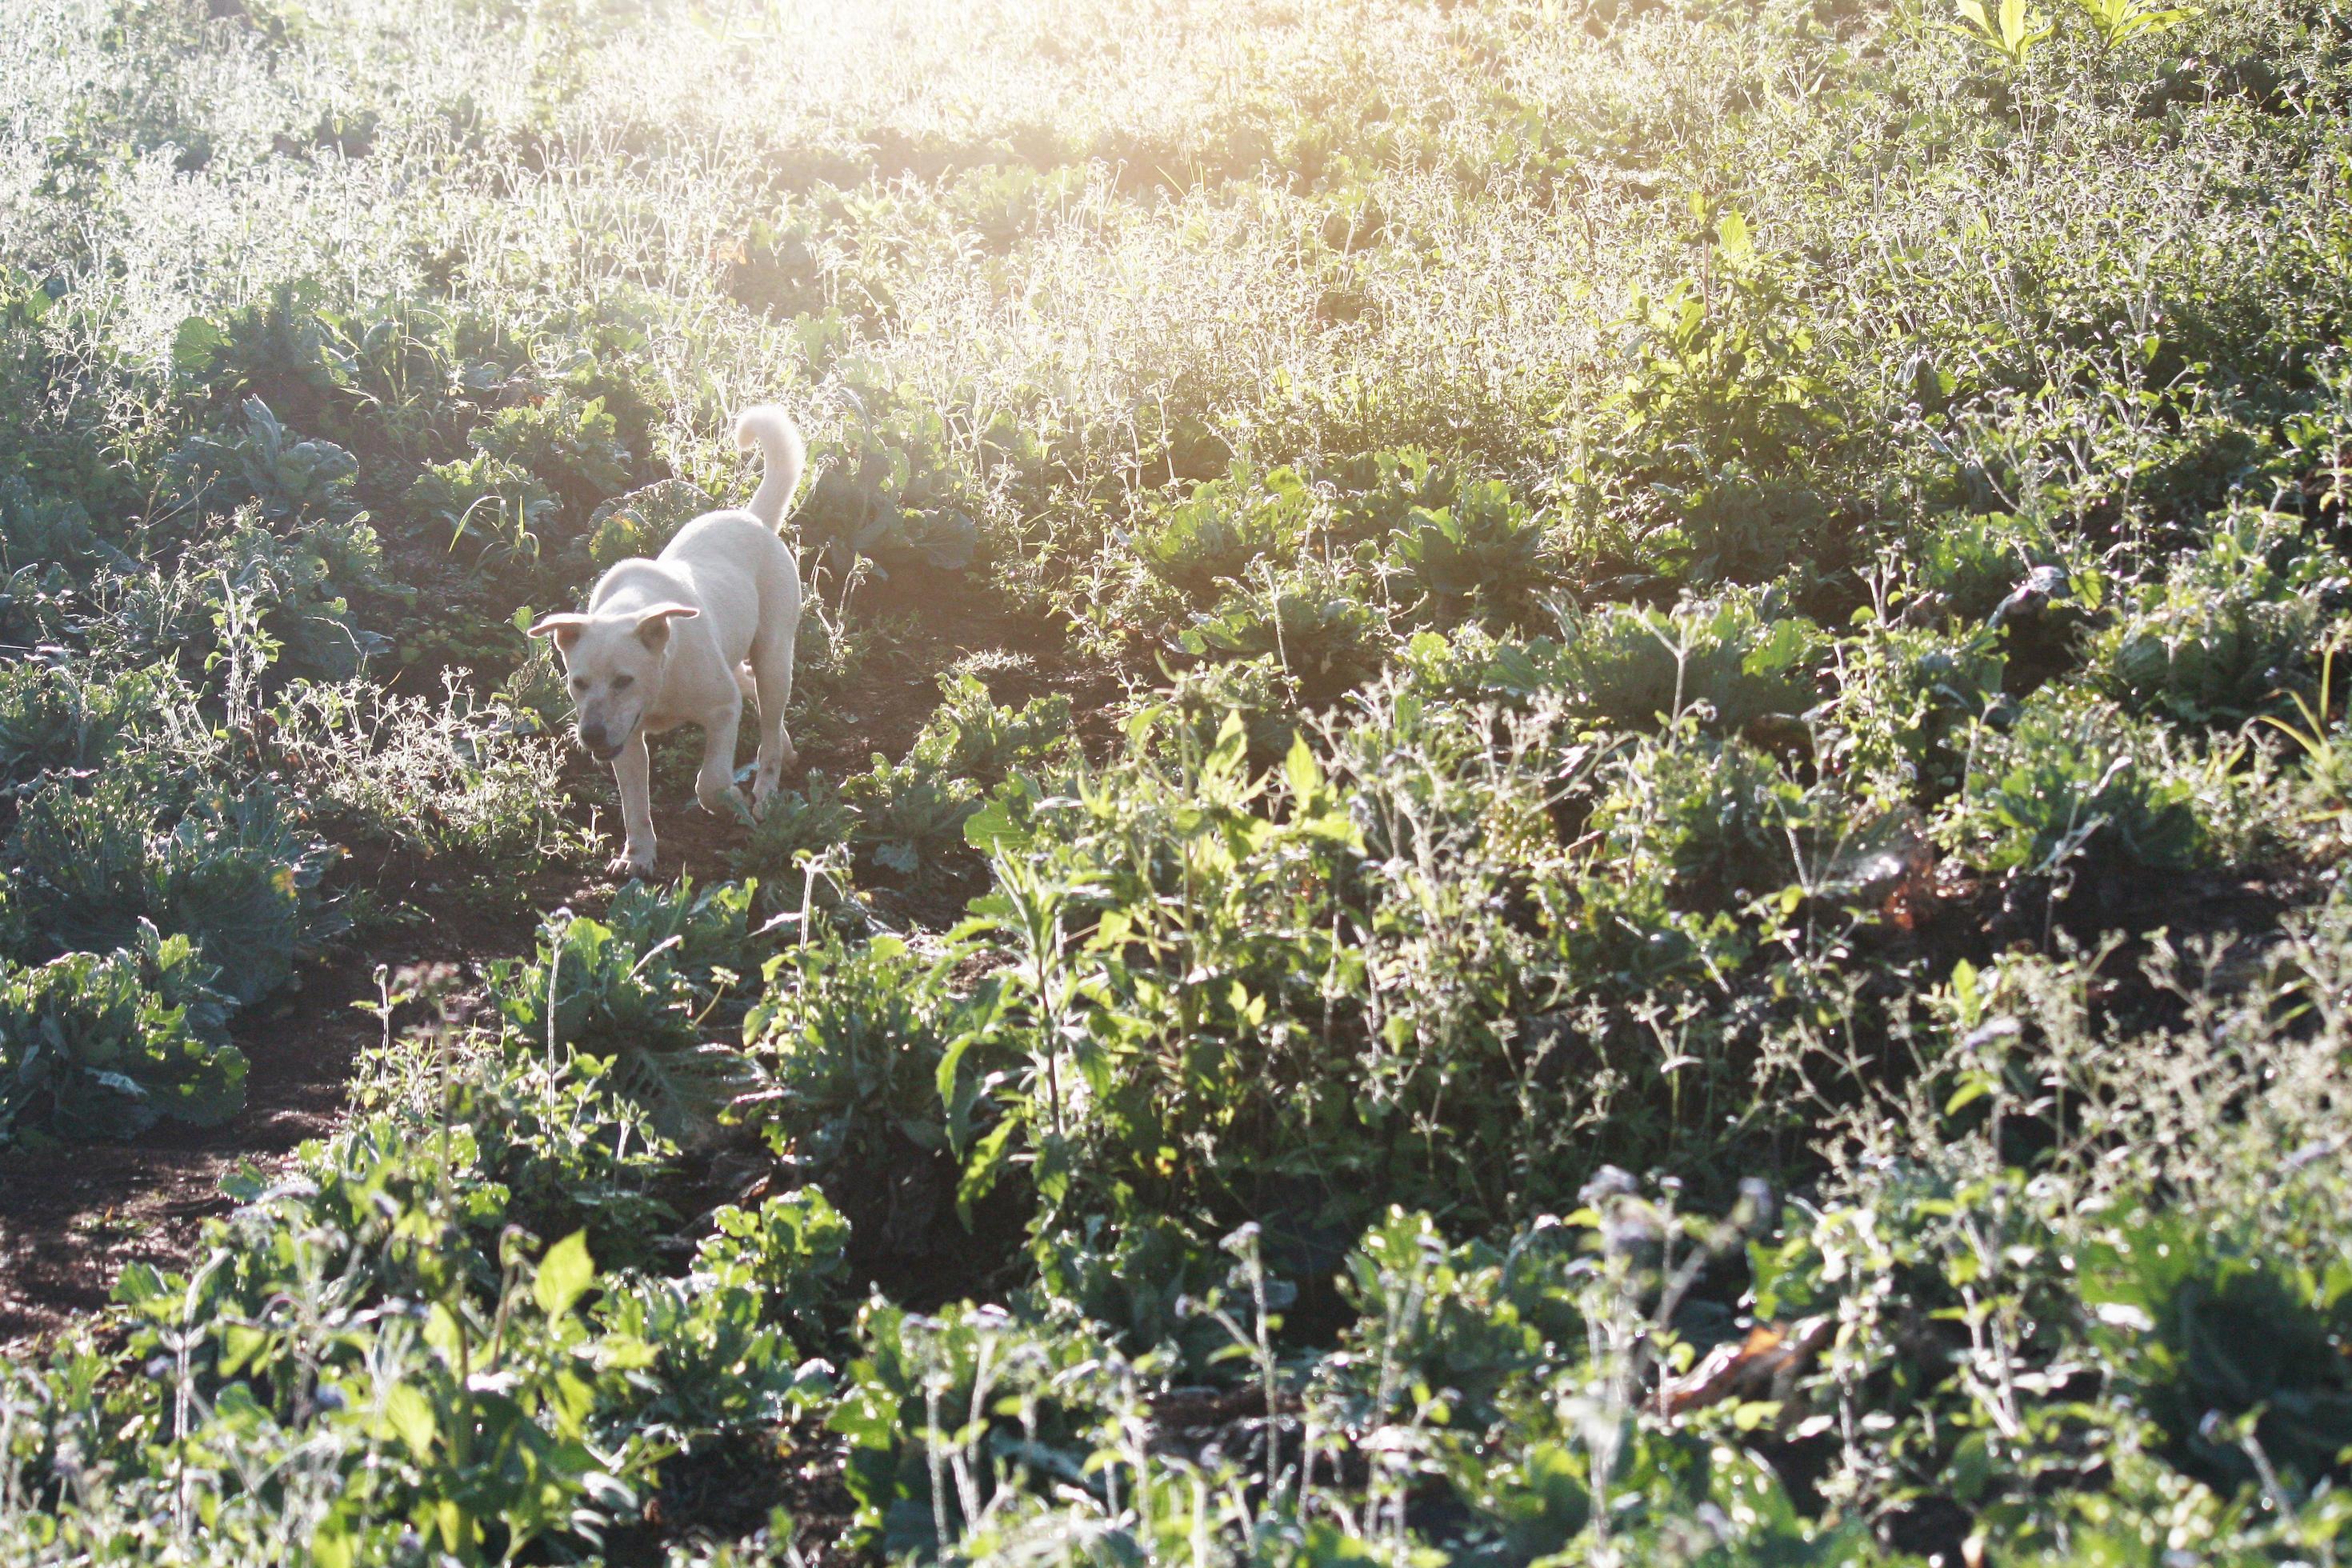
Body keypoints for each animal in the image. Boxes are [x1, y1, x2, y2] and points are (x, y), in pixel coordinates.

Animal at [529, 404, 804, 879]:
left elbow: (711, 782)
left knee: (767, 721)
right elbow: (634, 805)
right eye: (578, 683)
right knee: (754, 690)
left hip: (774, 652)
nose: (591, 735)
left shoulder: (721, 710)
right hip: (737, 657)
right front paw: (638, 856)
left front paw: (731, 801)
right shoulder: (626, 742)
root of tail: (753, 519)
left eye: (624, 680)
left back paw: (766, 790)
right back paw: (785, 753)